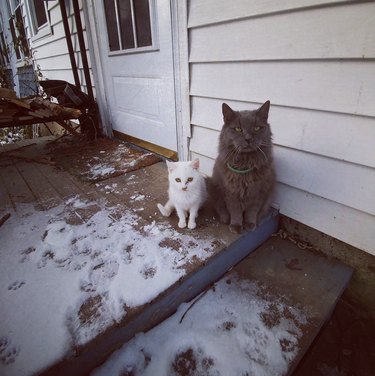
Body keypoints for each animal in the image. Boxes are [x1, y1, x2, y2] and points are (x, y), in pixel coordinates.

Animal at [209, 101, 276, 234]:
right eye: (238, 129)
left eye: (257, 128)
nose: (248, 138)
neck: (245, 163)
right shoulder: (231, 192)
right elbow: (236, 212)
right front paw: (236, 226)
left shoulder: (258, 192)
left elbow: (251, 211)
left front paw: (250, 224)